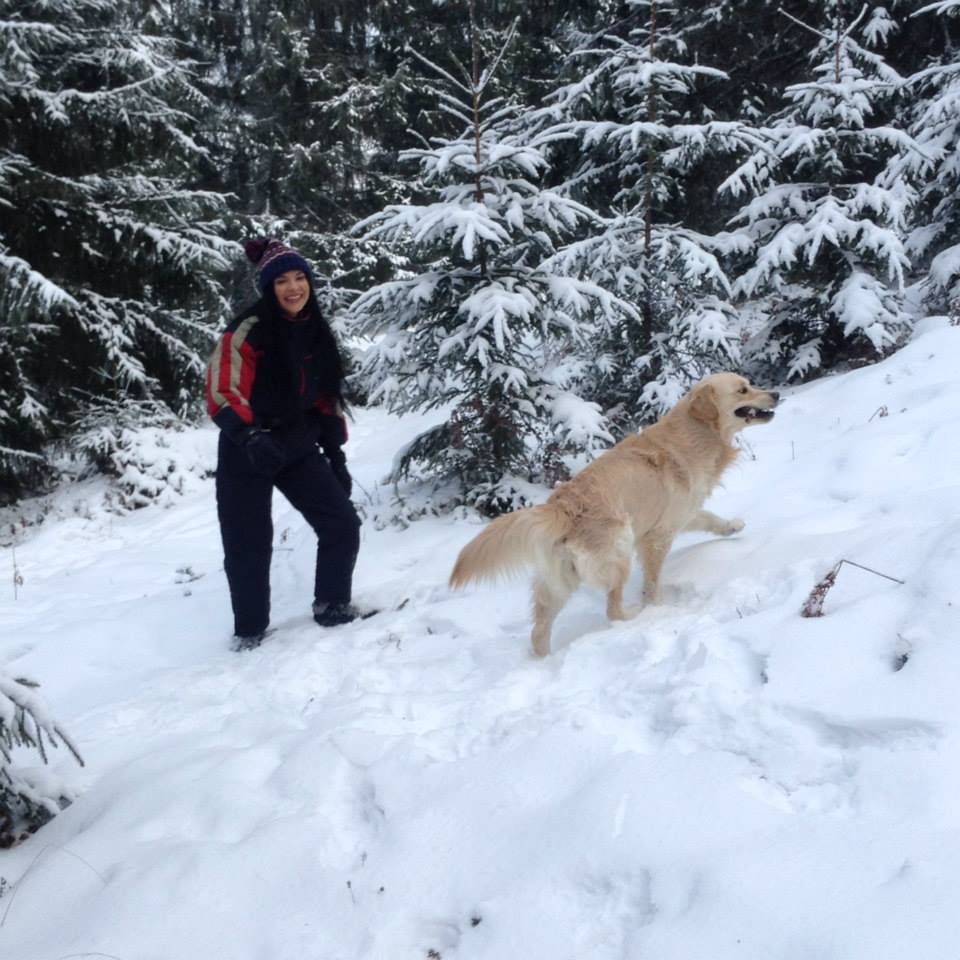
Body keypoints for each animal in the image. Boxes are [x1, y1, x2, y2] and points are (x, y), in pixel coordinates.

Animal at [450, 372, 780, 656]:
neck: (695, 434)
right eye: (743, 390)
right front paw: (658, 607)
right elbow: (651, 583)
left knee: (538, 631)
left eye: (749, 384)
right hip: (619, 549)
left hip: (558, 582)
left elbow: (710, 518)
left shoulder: (682, 513)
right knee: (612, 609)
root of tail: (560, 506)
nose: (776, 393)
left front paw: (732, 526)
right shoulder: (658, 535)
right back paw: (634, 617)